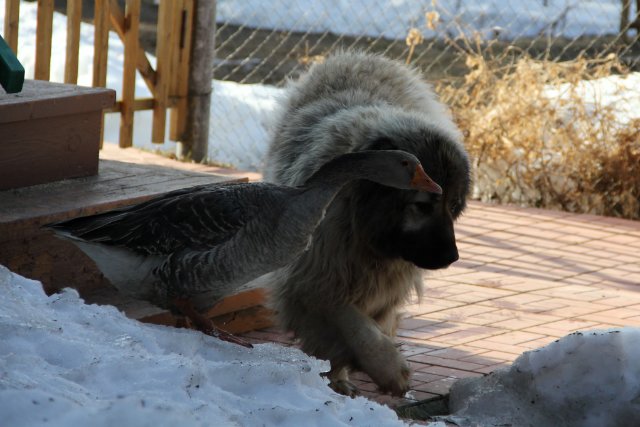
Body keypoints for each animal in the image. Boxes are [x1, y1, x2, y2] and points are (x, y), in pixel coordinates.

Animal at [262, 51, 470, 398]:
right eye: (422, 206)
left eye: (452, 207)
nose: (451, 258)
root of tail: (357, 56)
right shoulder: (315, 272)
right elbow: (350, 320)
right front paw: (387, 367)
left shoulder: (380, 281)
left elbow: (369, 321)